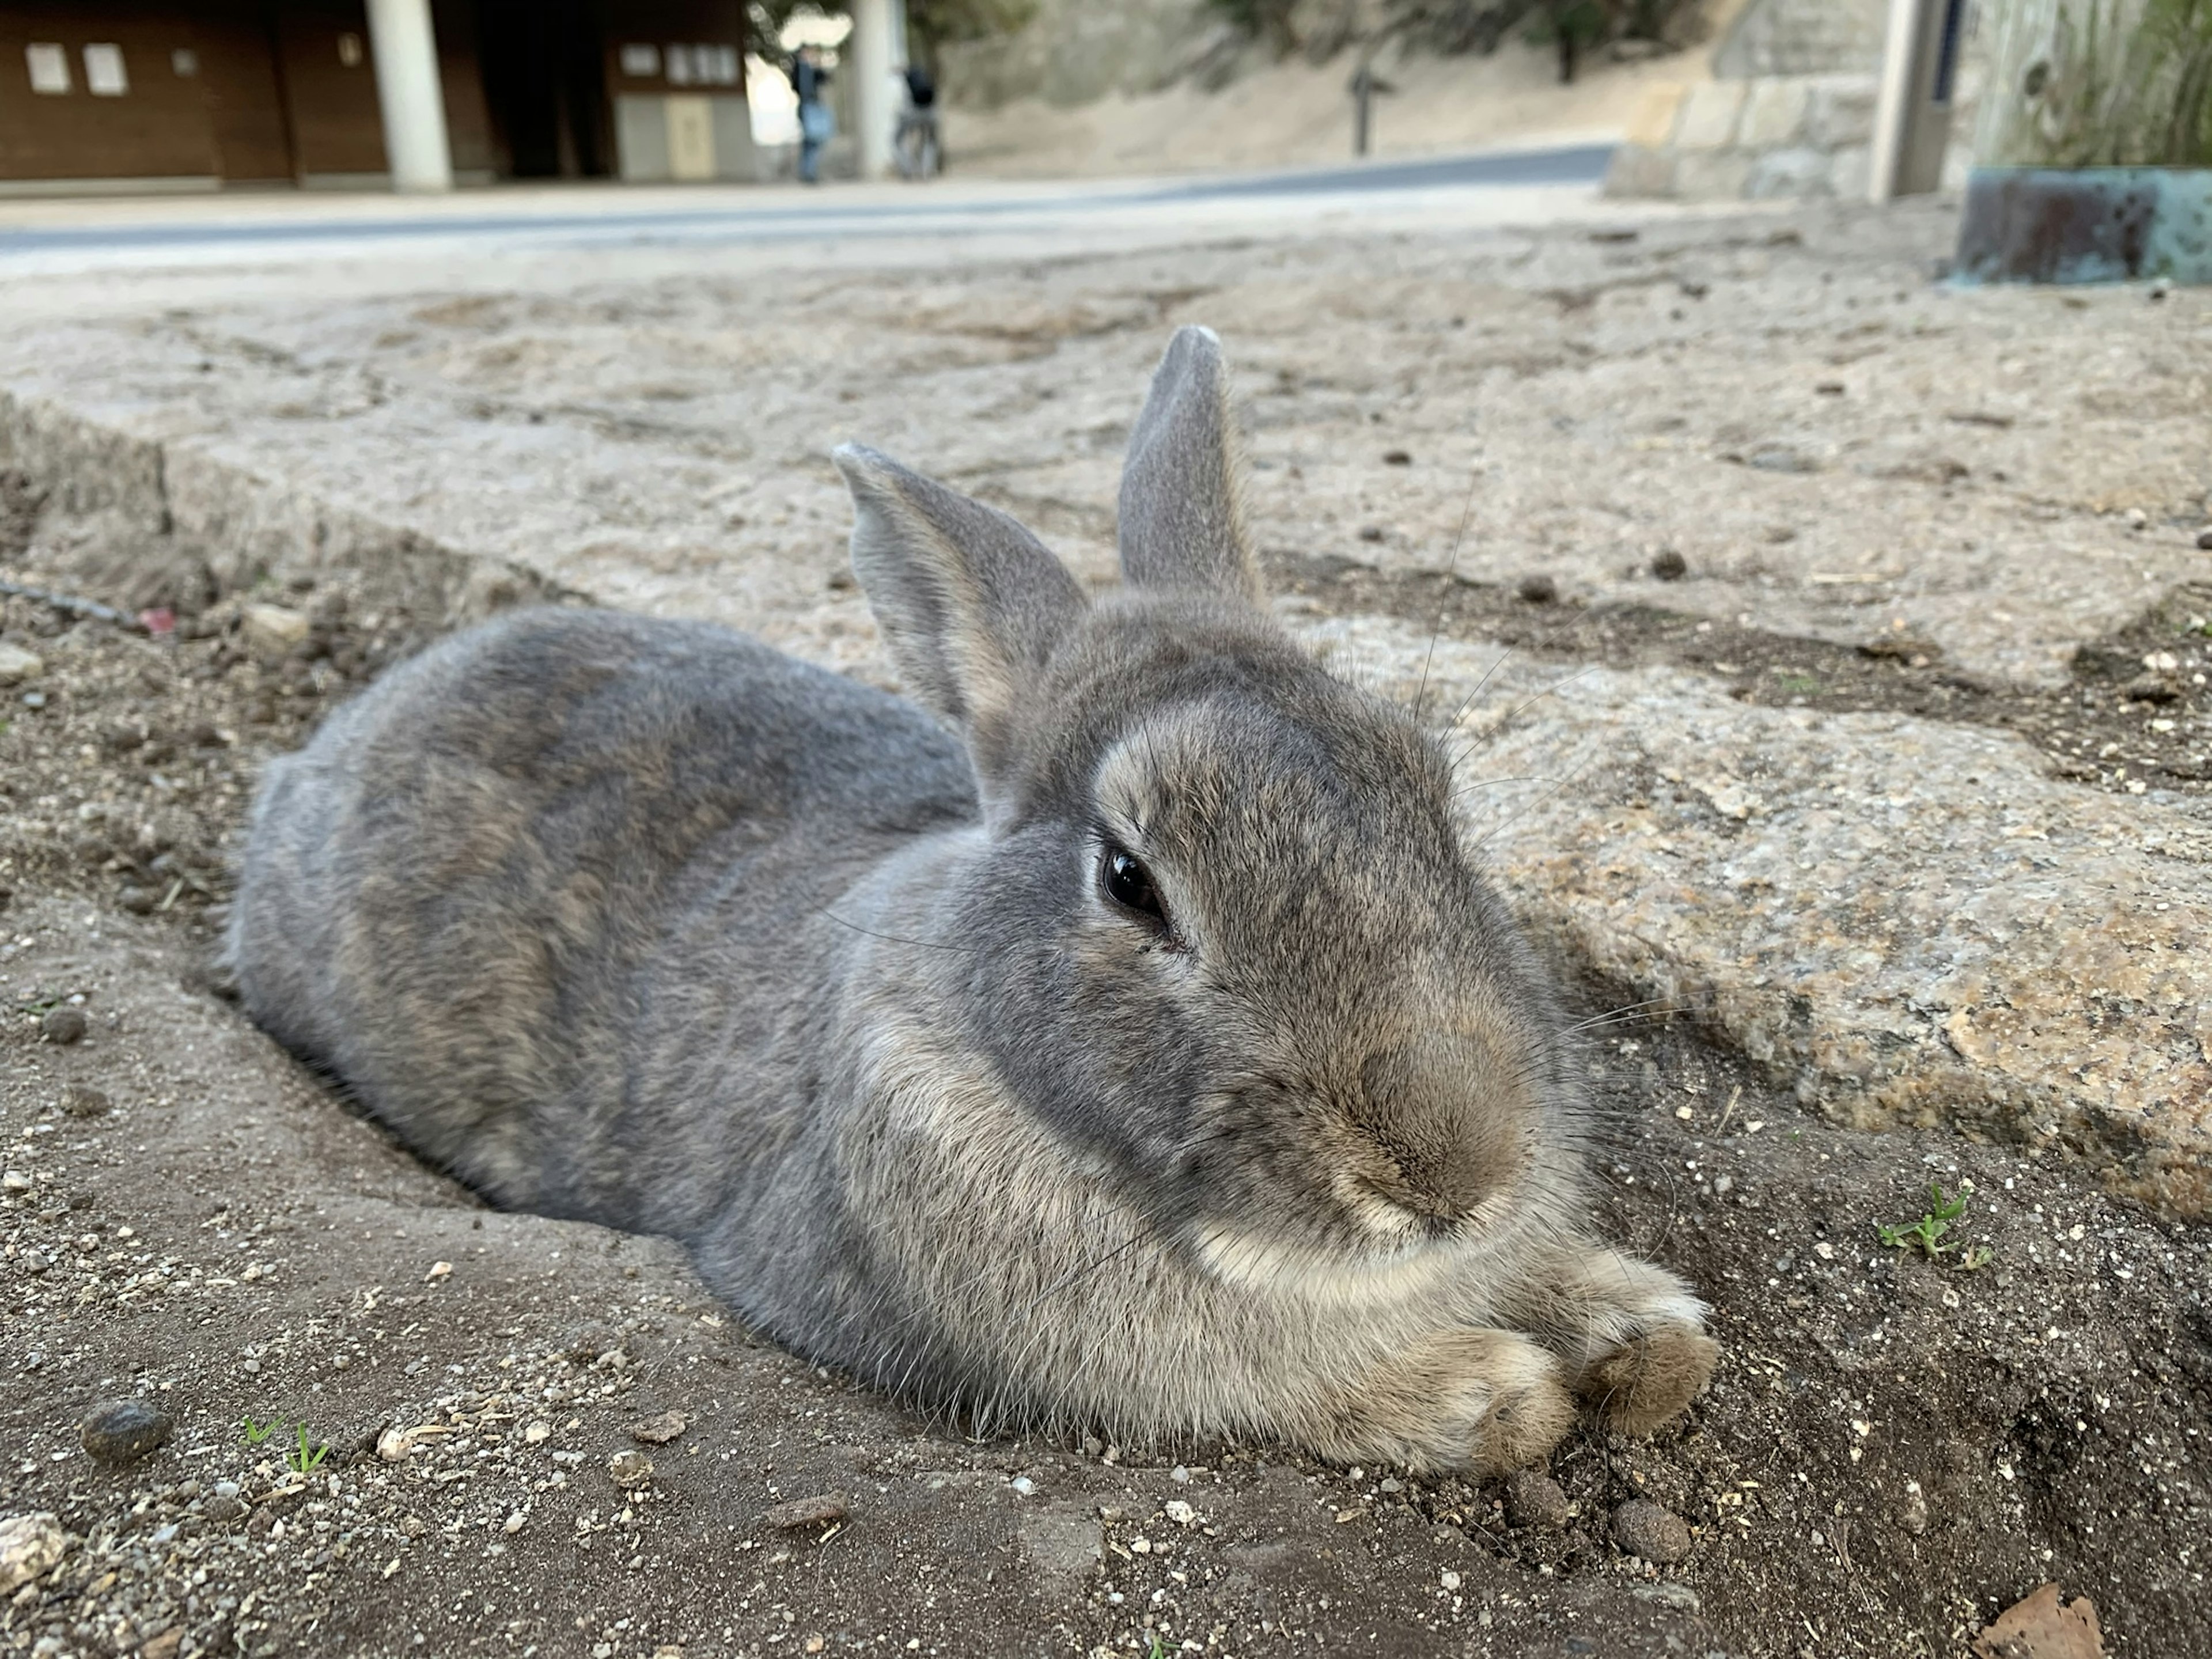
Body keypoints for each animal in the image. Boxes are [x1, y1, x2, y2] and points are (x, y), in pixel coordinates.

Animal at [224, 332, 1716, 1478]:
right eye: (1130, 880)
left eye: (1430, 794)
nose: (1451, 1171)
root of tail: (320, 750)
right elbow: (1288, 1389)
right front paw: (1493, 1395)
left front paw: (1649, 1338)